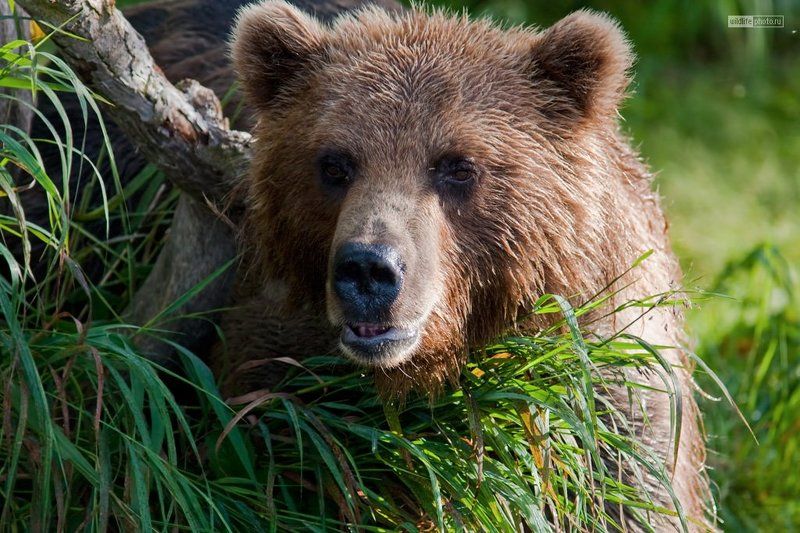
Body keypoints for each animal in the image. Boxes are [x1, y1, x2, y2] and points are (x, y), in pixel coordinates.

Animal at [224, 1, 711, 530]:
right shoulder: (279, 351)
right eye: (334, 164)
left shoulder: (607, 373)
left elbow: (632, 487)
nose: (369, 269)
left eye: (458, 165)